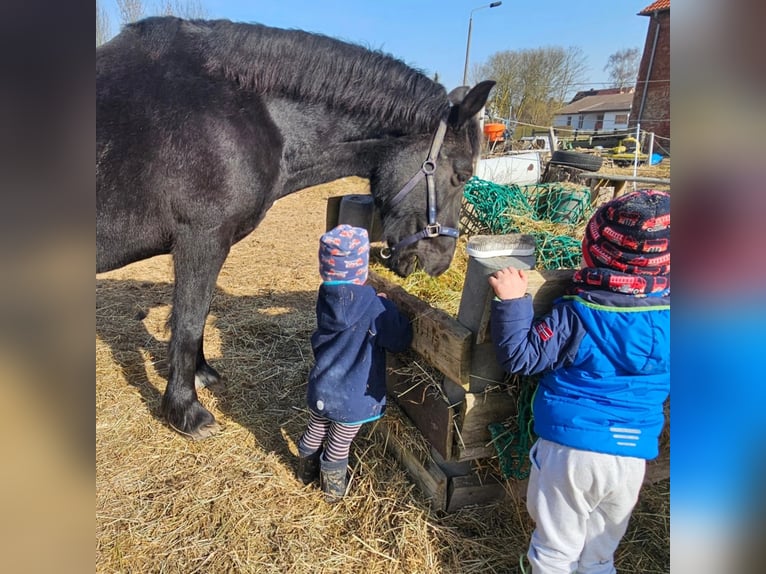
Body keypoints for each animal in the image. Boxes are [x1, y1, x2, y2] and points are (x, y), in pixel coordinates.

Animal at [96, 16, 495, 440]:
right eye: (463, 174)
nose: (440, 263)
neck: (240, 114)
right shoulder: (200, 240)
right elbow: (188, 321)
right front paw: (187, 411)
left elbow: (197, 316)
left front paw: (201, 375)